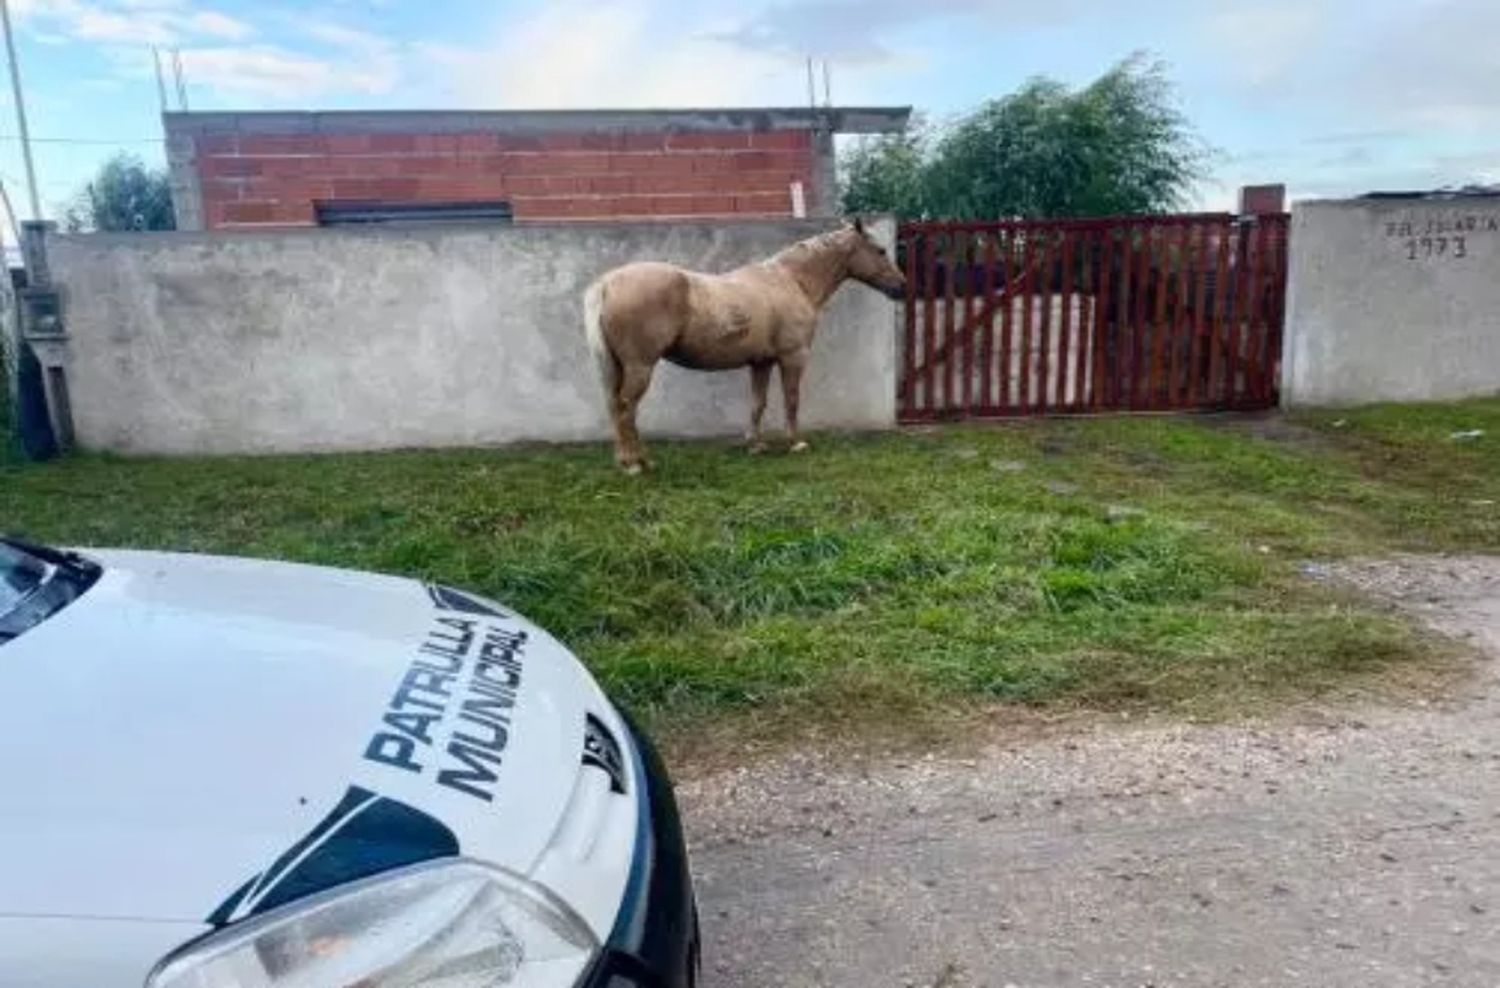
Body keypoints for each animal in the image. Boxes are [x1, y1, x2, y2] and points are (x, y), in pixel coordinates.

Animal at [579, 220, 906, 476]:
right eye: (880, 251)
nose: (901, 287)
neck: (792, 281)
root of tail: (607, 284)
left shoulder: (761, 362)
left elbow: (758, 403)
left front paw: (756, 445)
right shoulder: (793, 357)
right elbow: (792, 399)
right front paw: (796, 443)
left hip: (620, 366)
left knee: (616, 407)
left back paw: (634, 460)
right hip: (640, 366)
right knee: (625, 409)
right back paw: (634, 464)